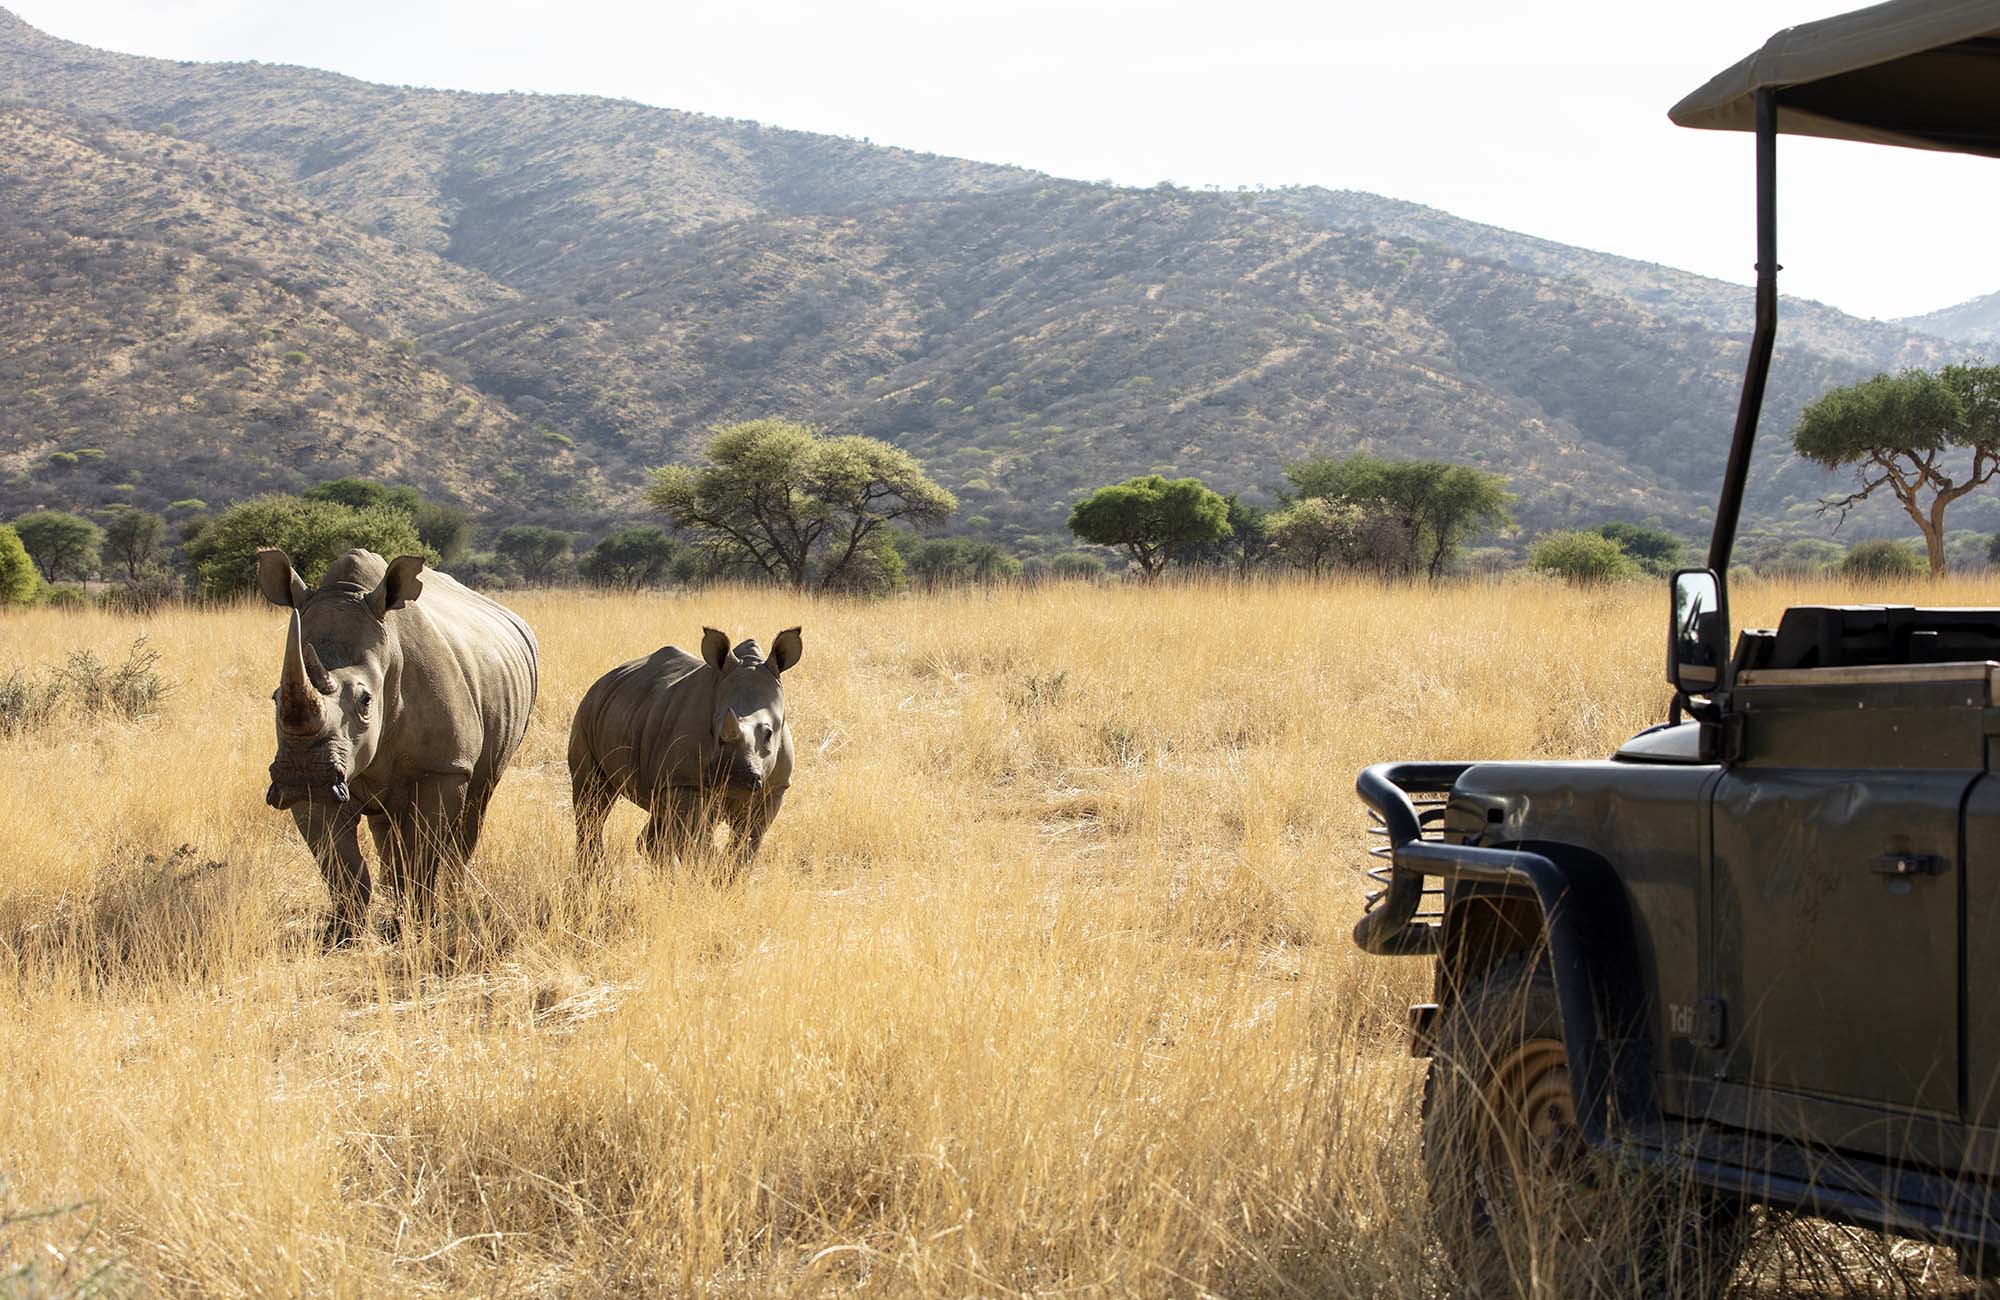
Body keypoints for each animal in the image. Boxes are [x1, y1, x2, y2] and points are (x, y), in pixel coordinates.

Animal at [572, 628, 796, 872]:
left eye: (769, 734)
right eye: (715, 732)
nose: (735, 778)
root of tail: (603, 679)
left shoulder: (773, 788)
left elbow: (747, 841)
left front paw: (725, 876)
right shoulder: (685, 781)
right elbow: (696, 840)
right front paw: (707, 874)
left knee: (657, 813)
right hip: (587, 711)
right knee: (591, 801)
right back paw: (592, 874)